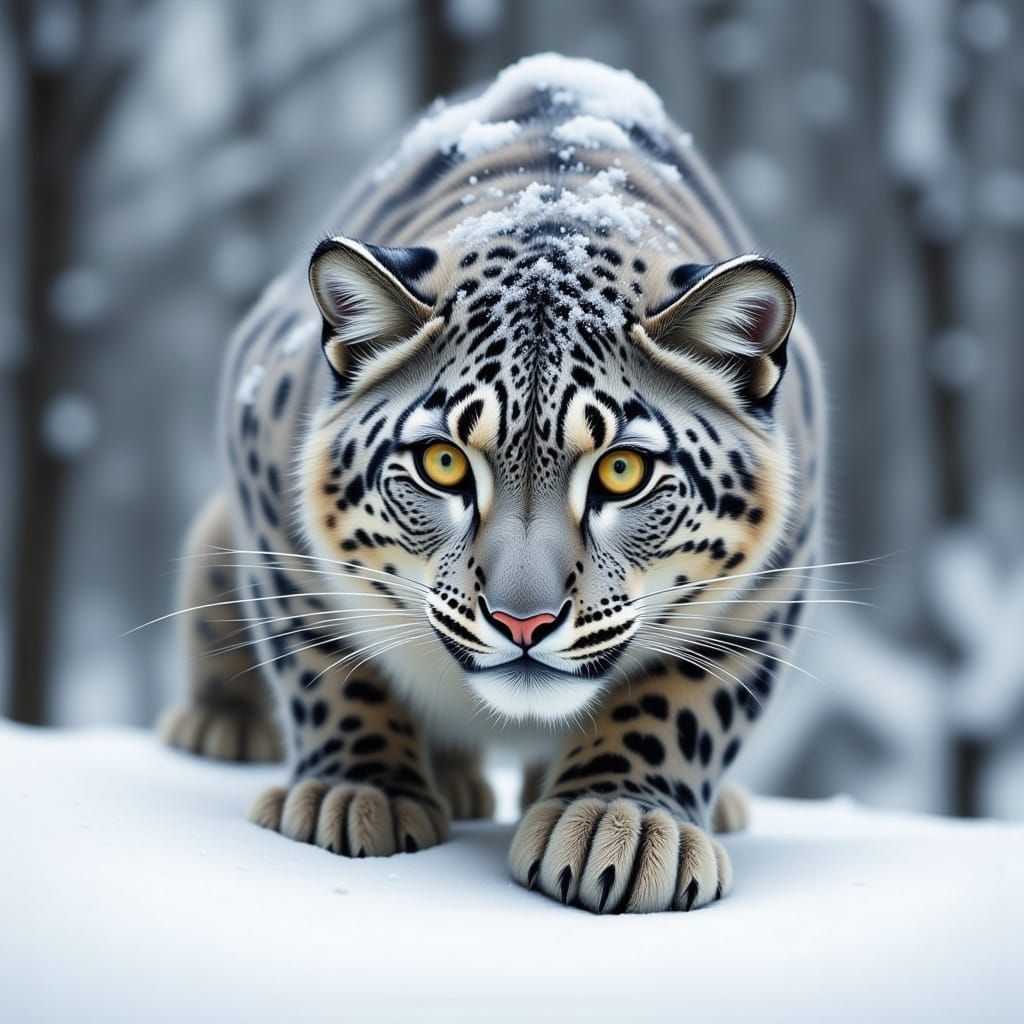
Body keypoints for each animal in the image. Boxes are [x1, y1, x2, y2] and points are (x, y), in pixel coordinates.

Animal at [158, 53, 823, 914]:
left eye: (623, 470)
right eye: (443, 463)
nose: (522, 623)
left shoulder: (768, 590)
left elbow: (679, 703)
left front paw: (618, 823)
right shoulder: (271, 513)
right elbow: (326, 662)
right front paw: (358, 794)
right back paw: (228, 729)